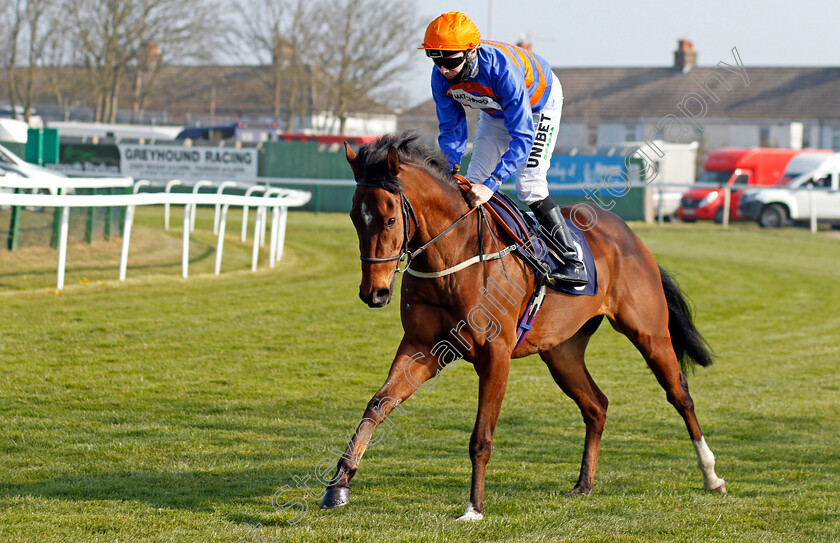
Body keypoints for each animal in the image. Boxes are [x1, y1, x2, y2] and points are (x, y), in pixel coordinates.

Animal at [318, 133, 724, 524]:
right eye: (354, 217)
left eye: (389, 220)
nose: (374, 293)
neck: (451, 258)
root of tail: (630, 236)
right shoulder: (422, 347)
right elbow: (377, 405)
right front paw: (338, 486)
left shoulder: (495, 354)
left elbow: (481, 436)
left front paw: (474, 508)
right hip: (562, 352)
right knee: (596, 405)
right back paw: (584, 484)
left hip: (648, 333)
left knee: (680, 395)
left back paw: (711, 475)